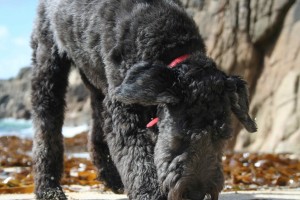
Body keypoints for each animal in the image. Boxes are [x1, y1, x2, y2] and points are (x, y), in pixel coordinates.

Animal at [30, 0, 256, 199]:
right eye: (181, 134)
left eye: (223, 135)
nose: (196, 194)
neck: (170, 47)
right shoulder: (126, 113)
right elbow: (137, 158)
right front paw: (150, 193)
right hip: (48, 63)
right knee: (47, 128)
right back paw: (48, 188)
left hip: (96, 83)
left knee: (97, 127)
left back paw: (112, 179)